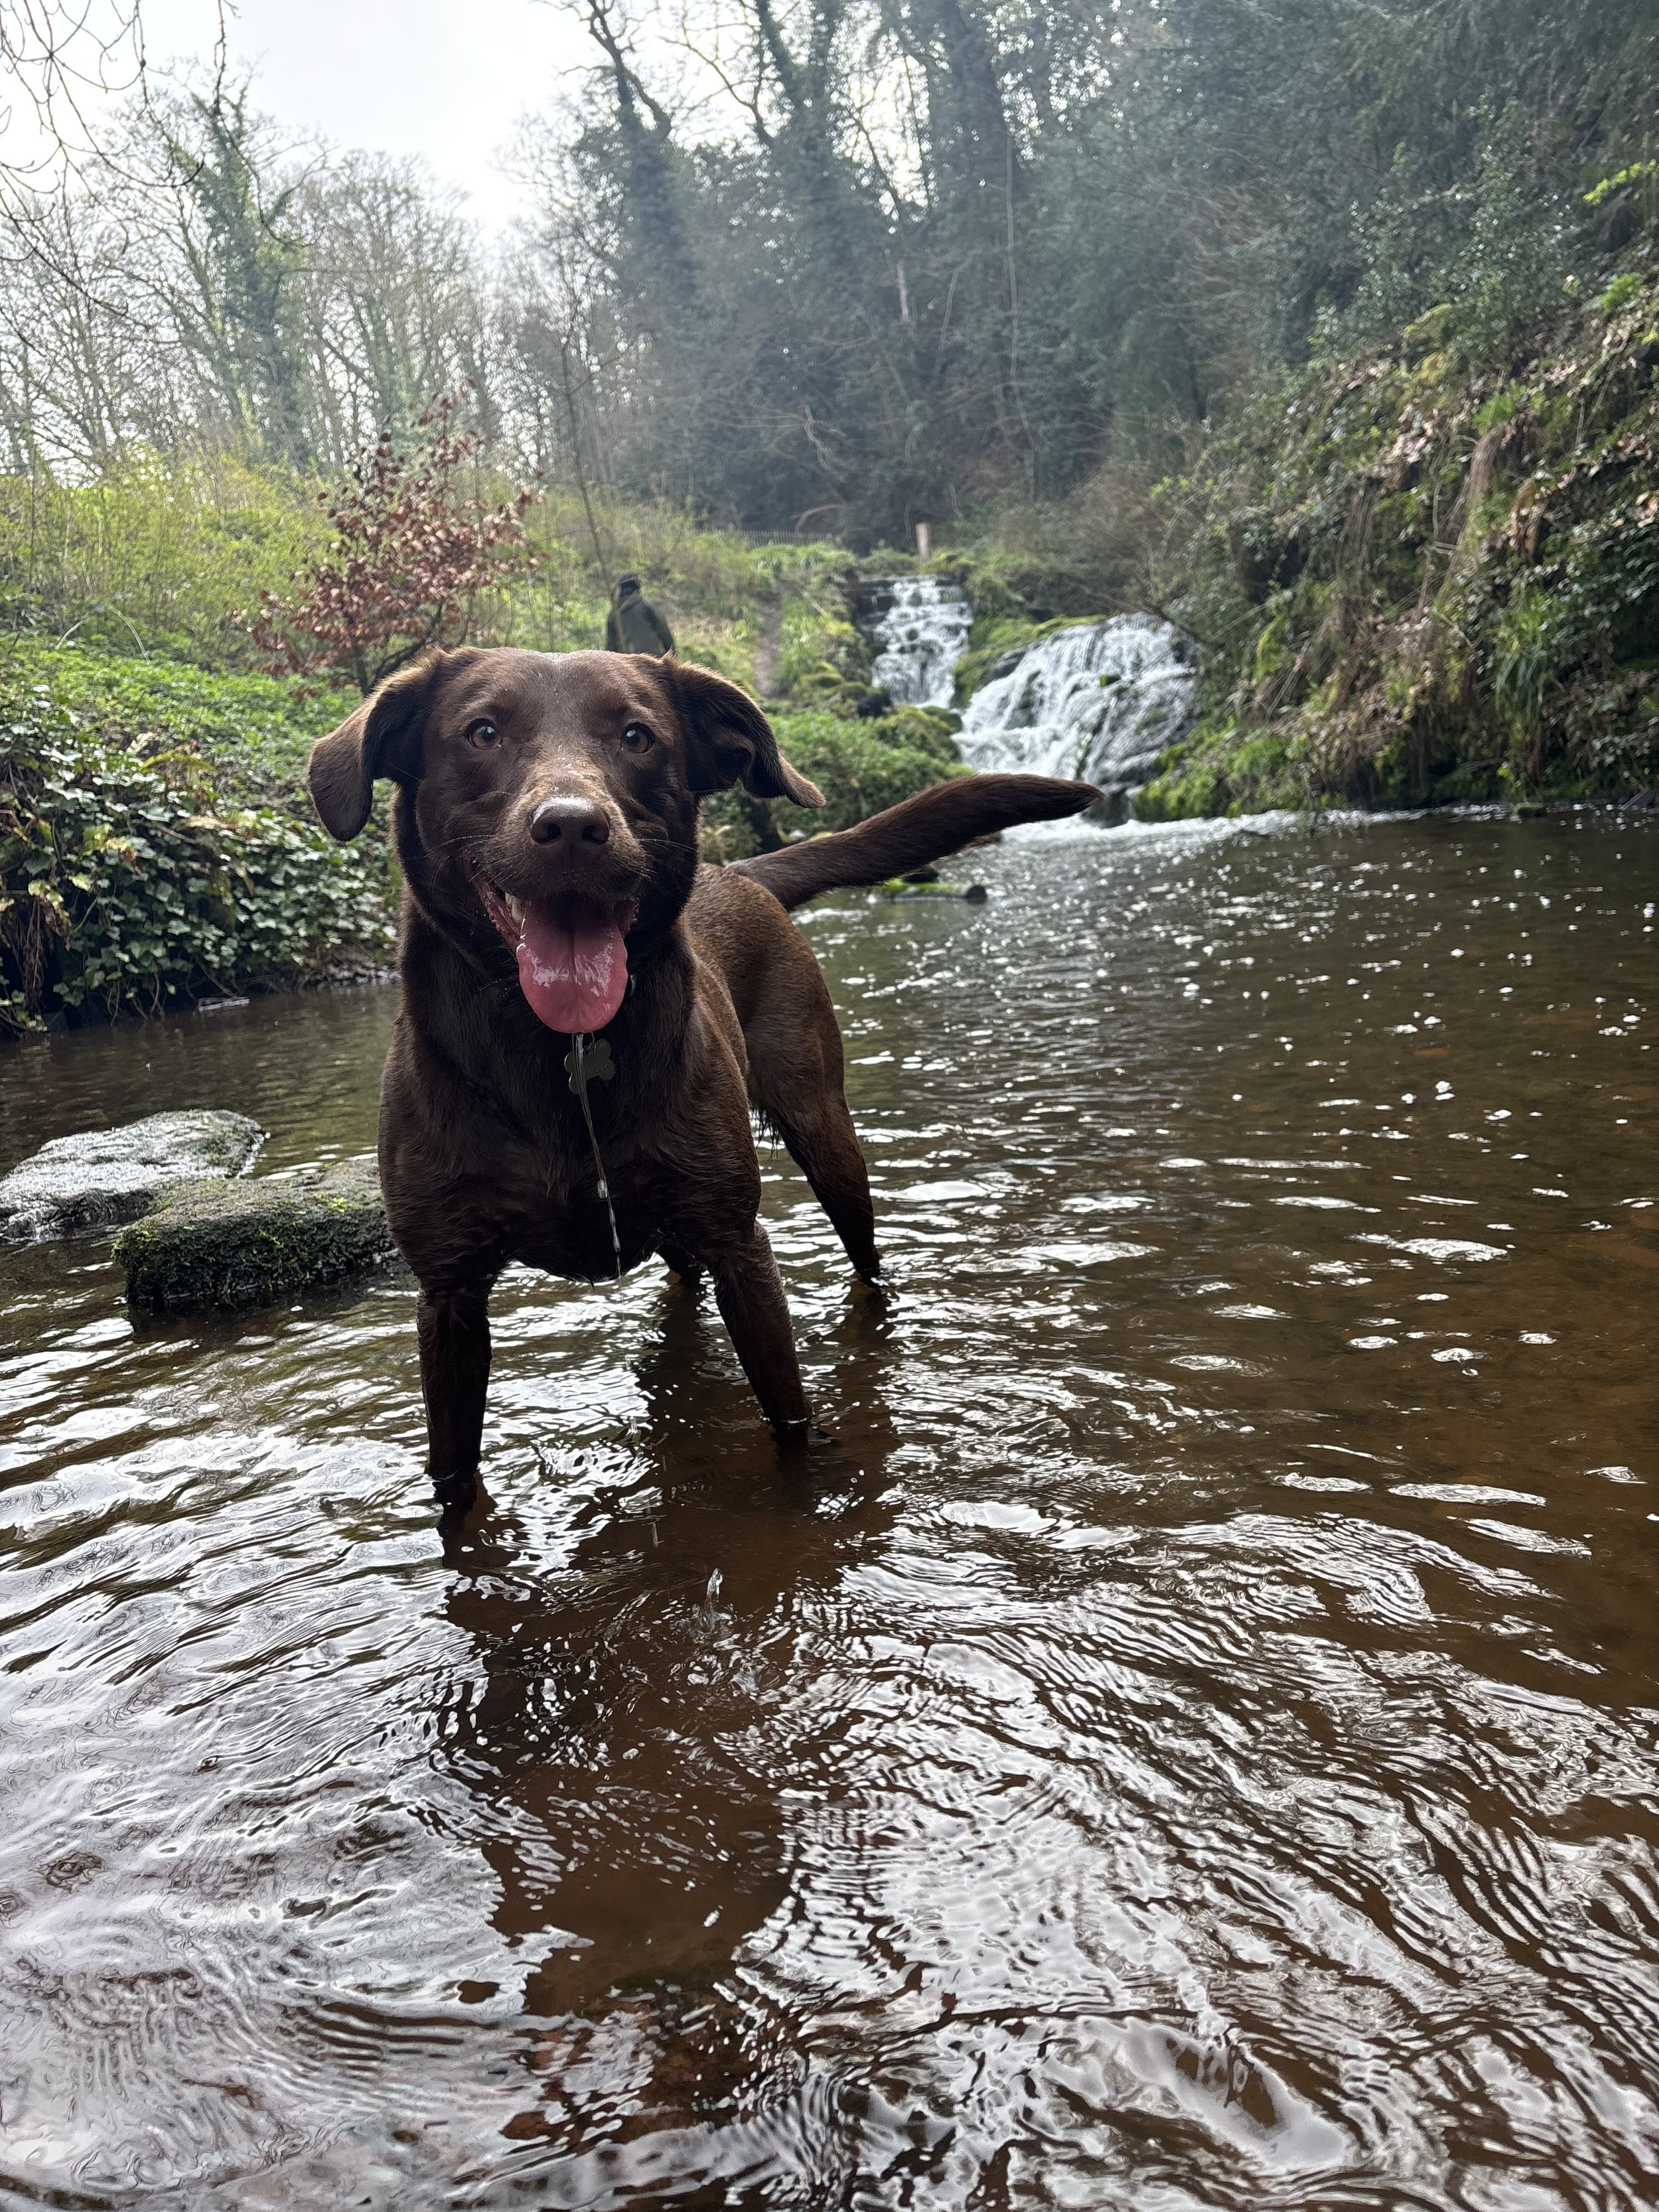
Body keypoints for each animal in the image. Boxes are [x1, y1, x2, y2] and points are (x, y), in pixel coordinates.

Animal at [307, 647, 1095, 1511]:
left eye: (636, 736)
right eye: (482, 732)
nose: (572, 827)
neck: (560, 1054)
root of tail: (738, 870)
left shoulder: (738, 1245)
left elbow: (789, 1421)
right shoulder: (448, 1296)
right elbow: (453, 1478)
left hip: (823, 1135)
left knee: (863, 1261)